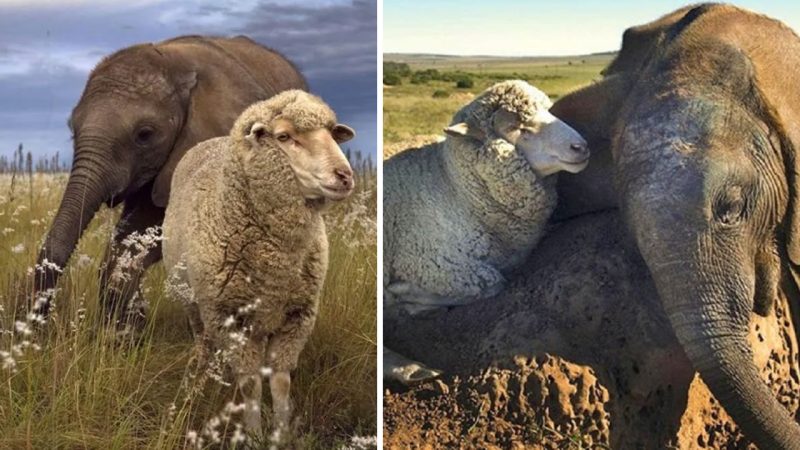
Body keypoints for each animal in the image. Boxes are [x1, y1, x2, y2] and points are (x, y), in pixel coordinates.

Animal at [162, 89, 356, 438]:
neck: (275, 259)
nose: (345, 176)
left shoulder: (296, 315)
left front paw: (281, 433)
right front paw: (252, 434)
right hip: (194, 302)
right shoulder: (229, 317)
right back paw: (200, 376)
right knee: (203, 341)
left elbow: (280, 381)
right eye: (284, 136)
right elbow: (251, 383)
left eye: (332, 134)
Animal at [384, 80, 592, 384]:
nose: (581, 146)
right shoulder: (430, 263)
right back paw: (412, 366)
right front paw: (407, 298)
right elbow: (493, 281)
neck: (454, 188)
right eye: (519, 128)